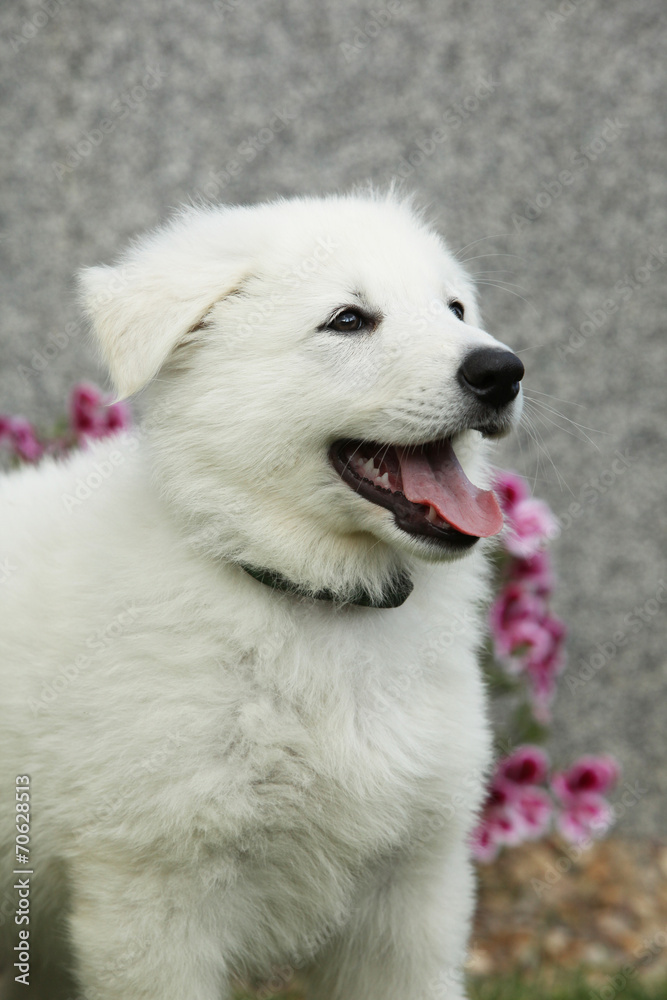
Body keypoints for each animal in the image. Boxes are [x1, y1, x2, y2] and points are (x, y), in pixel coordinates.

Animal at [0, 191, 528, 996]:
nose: (503, 370)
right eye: (348, 319)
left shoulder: (413, 890)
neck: (314, 599)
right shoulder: (155, 901)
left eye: (455, 308)